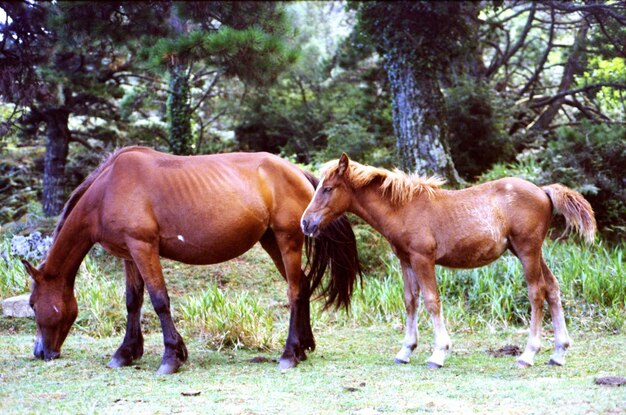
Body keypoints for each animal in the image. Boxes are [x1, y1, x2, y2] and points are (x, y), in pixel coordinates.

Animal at [22, 148, 358, 376]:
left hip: (287, 240)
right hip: (272, 241)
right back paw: (304, 347)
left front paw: (171, 357)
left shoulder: (144, 248)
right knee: (302, 284)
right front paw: (126, 352)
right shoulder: (130, 255)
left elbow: (159, 300)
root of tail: (297, 172)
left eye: (32, 304)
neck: (107, 190)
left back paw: (290, 353)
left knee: (295, 291)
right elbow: (133, 301)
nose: (40, 352)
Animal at [302, 154, 596, 368]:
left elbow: (432, 301)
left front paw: (438, 353)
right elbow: (411, 301)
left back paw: (528, 354)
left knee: (537, 292)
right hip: (528, 251)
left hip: (527, 251)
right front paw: (405, 350)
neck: (403, 208)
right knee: (553, 288)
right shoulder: (406, 261)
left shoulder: (423, 259)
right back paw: (558, 353)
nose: (306, 223)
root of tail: (543, 191)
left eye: (327, 188)